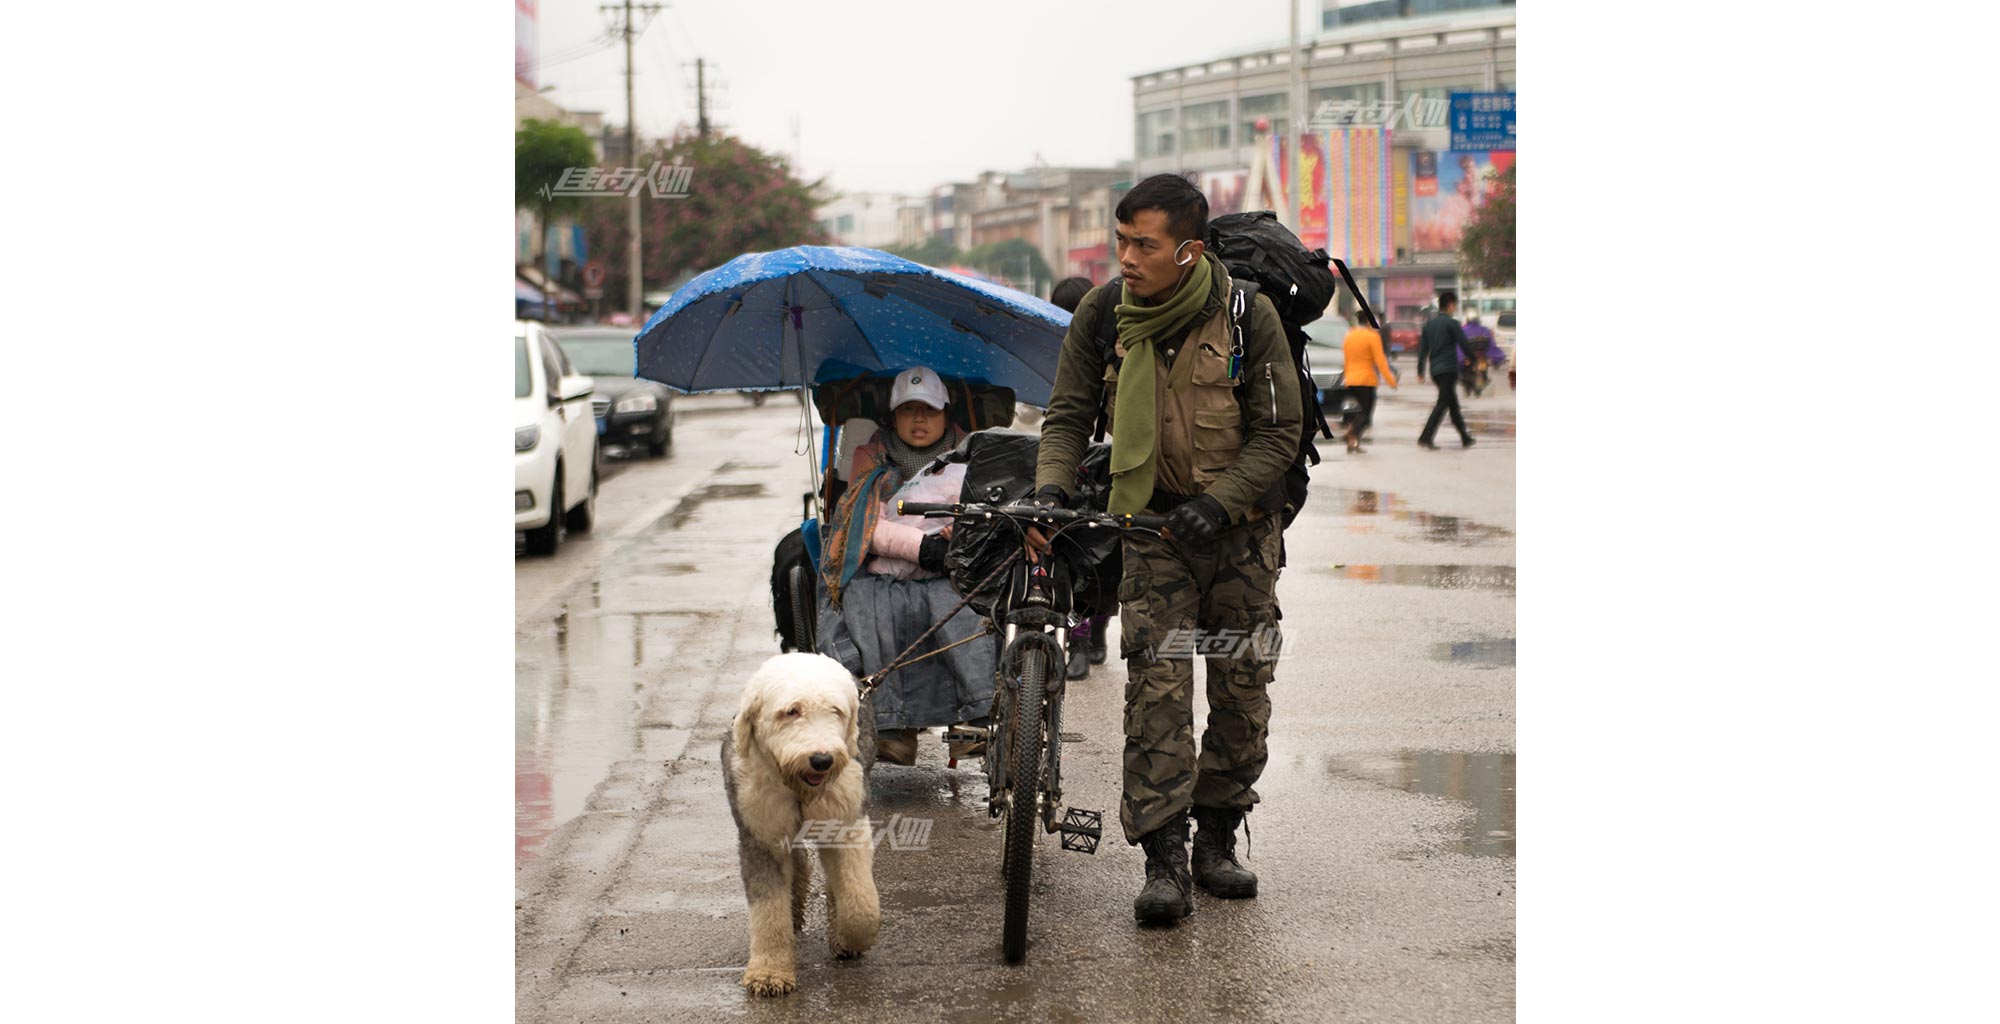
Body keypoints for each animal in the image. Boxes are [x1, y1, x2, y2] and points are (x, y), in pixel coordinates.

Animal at [720, 652, 876, 996]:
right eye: (791, 711)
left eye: (835, 710)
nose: (822, 760)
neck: (797, 787)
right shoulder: (762, 833)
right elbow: (768, 909)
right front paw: (768, 974)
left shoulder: (847, 822)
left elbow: (860, 900)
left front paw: (849, 937)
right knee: (799, 861)